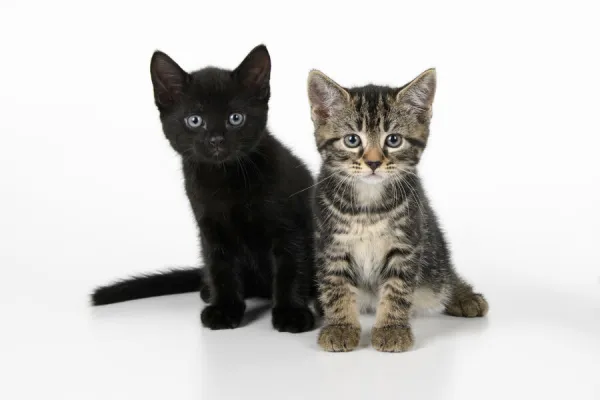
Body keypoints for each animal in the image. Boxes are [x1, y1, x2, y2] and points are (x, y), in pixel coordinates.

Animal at [89, 45, 316, 334]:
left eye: (235, 118)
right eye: (195, 120)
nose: (216, 139)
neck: (224, 181)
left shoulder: (290, 226)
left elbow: (291, 267)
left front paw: (292, 313)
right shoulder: (210, 228)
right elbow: (220, 268)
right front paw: (224, 309)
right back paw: (208, 291)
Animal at [310, 69, 488, 354]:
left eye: (393, 140)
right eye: (352, 140)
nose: (373, 162)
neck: (368, 206)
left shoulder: (407, 242)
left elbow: (398, 289)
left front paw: (391, 329)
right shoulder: (331, 244)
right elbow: (336, 287)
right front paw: (340, 327)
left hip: (432, 256)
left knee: (444, 276)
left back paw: (464, 296)